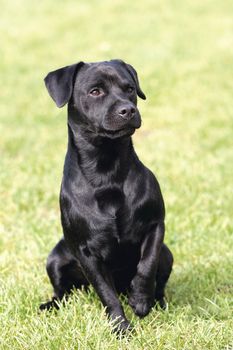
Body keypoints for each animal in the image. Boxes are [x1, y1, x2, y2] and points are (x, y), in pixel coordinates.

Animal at [40, 59, 173, 334]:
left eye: (130, 88)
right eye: (95, 91)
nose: (128, 110)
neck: (106, 170)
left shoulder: (155, 226)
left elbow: (147, 264)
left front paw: (140, 300)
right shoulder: (86, 253)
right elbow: (106, 294)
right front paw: (121, 328)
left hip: (168, 254)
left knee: (160, 280)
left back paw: (157, 301)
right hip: (55, 258)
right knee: (61, 292)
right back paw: (51, 305)